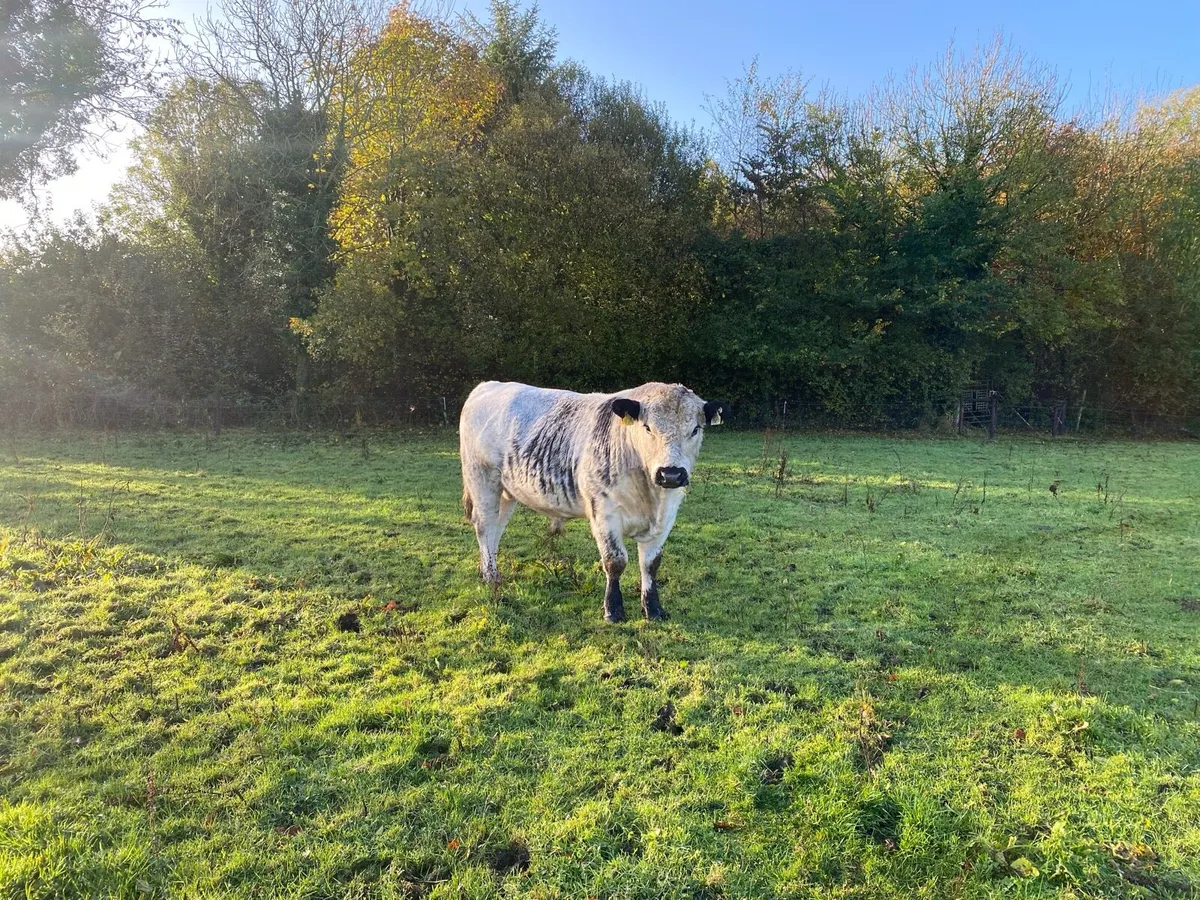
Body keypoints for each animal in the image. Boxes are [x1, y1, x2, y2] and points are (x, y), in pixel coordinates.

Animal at [459, 381, 727, 623]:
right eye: (647, 427)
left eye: (695, 429)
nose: (670, 474)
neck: (650, 496)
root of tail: (487, 385)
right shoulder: (604, 513)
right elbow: (615, 561)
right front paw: (613, 611)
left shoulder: (666, 516)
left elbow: (651, 564)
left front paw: (654, 609)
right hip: (482, 481)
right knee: (485, 527)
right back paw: (491, 575)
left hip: (507, 492)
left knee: (496, 529)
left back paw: (489, 570)